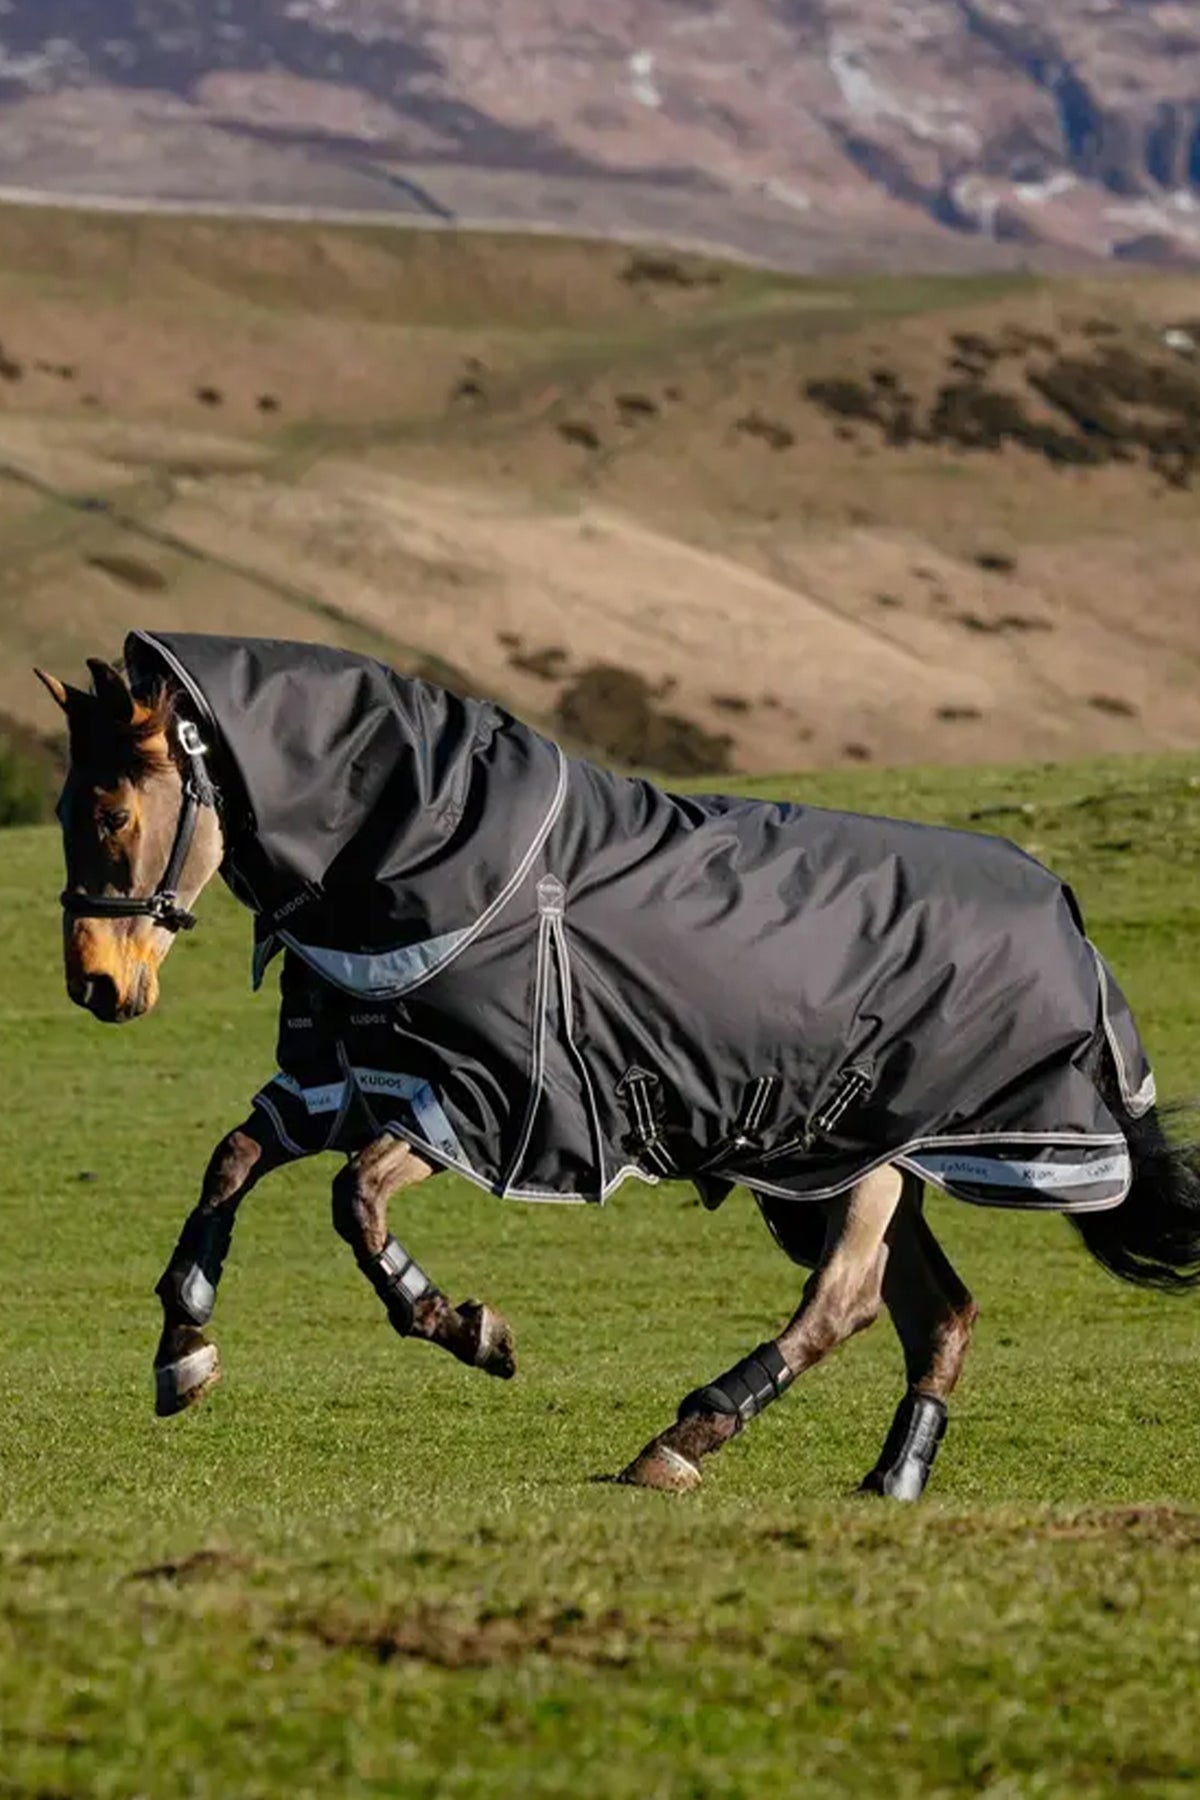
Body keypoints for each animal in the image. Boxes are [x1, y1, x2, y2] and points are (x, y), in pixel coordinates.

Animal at [36, 633, 1200, 1500]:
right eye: (61, 811)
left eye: (113, 812)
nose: (95, 982)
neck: (433, 853)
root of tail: (1070, 923)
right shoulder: (364, 1078)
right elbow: (232, 1163)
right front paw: (182, 1350)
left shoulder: (484, 1104)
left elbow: (354, 1203)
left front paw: (468, 1329)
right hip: (849, 1163)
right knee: (936, 1313)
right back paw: (891, 1477)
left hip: (871, 1156)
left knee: (846, 1302)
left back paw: (684, 1440)